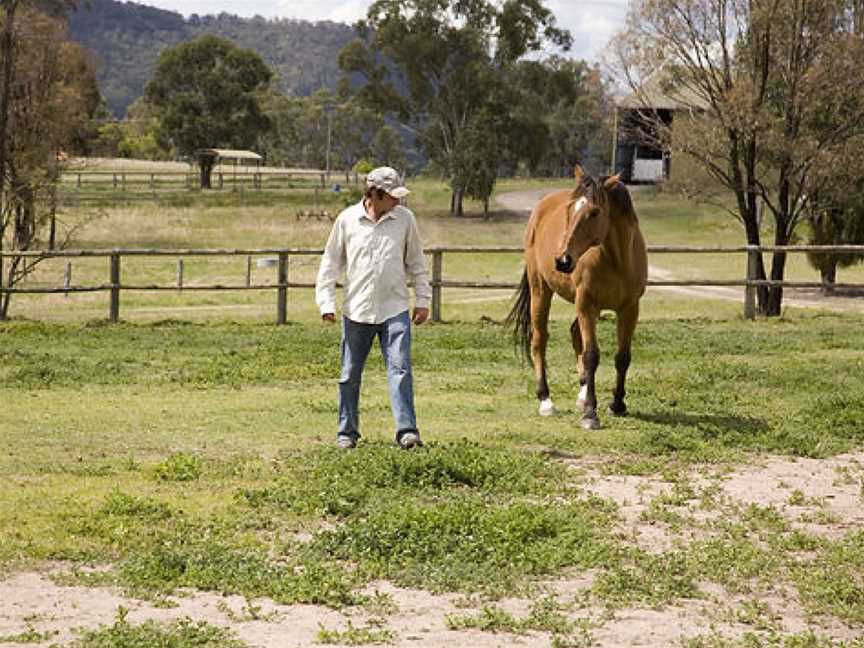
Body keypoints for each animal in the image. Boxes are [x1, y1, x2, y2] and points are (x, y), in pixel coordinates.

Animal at [506, 167, 648, 430]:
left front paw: (617, 404)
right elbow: (592, 354)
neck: (617, 260)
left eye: (594, 212)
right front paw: (591, 413)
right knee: (539, 341)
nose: (563, 260)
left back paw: (582, 395)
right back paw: (546, 400)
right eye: (570, 209)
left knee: (575, 335)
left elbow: (622, 357)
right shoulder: (586, 304)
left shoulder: (629, 309)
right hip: (541, 291)